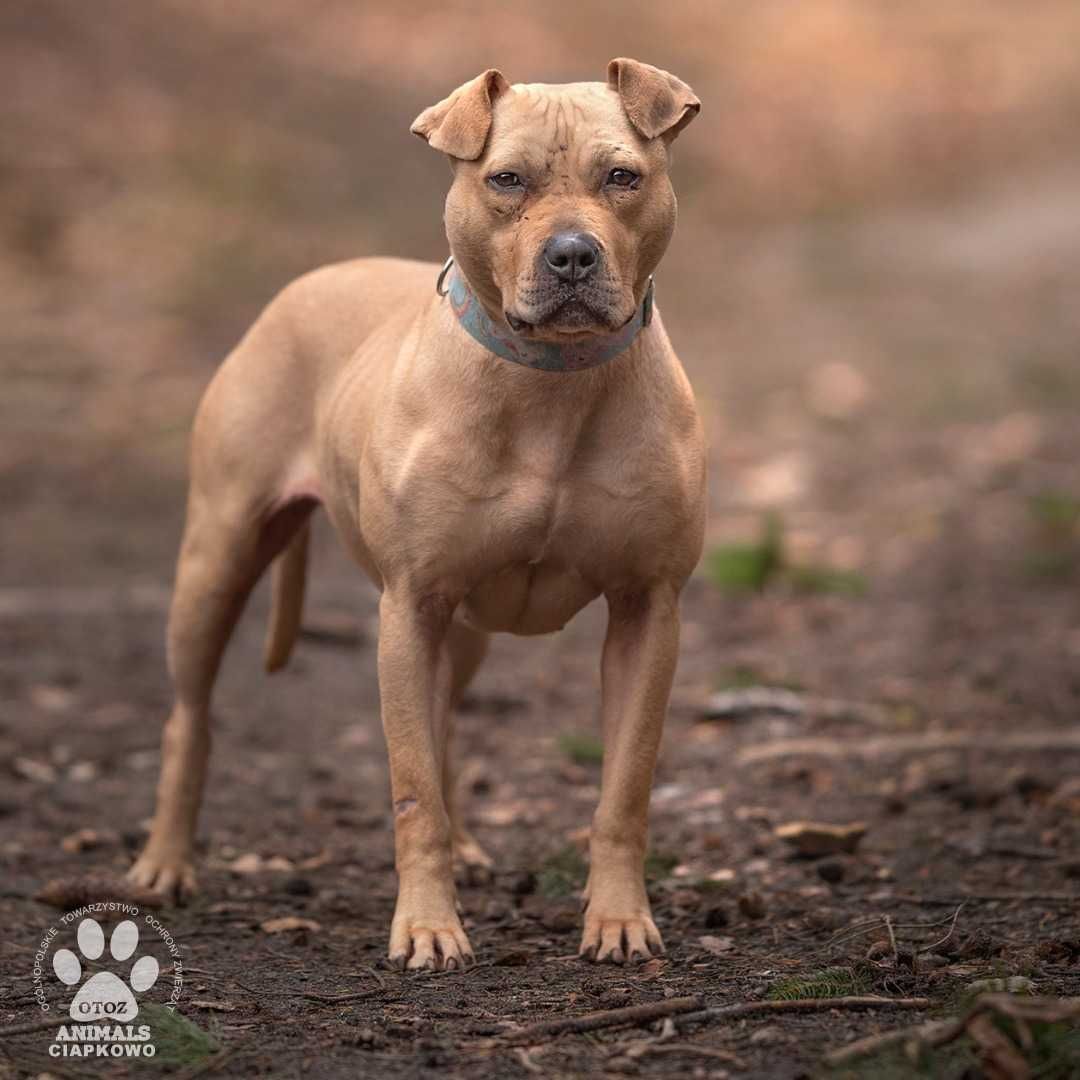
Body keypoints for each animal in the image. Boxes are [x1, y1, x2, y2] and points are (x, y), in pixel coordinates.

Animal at [128, 59, 708, 972]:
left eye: (623, 177)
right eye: (507, 180)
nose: (572, 253)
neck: (551, 383)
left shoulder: (647, 610)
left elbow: (624, 788)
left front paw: (618, 918)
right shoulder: (408, 607)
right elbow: (410, 792)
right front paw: (429, 927)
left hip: (461, 630)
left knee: (444, 721)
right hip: (216, 564)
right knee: (192, 715)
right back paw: (164, 863)